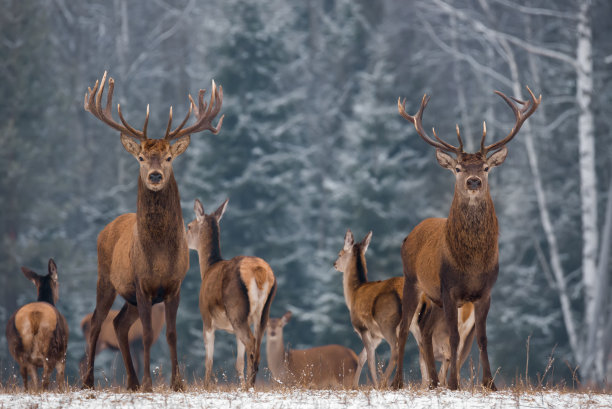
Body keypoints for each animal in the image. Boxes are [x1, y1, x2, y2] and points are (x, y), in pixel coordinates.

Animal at [6, 258, 69, 388]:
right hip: (50, 350)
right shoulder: (63, 355)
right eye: (58, 283)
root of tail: (33, 316)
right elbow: (60, 383)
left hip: (18, 351)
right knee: (44, 382)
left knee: (27, 380)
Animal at [82, 71, 222, 390]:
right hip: (105, 278)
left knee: (119, 323)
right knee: (97, 322)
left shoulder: (174, 286)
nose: (155, 176)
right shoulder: (141, 284)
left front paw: (177, 383)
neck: (158, 256)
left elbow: (171, 334)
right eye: (141, 158)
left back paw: (131, 381)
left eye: (169, 157)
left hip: (129, 297)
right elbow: (146, 334)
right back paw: (90, 381)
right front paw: (149, 382)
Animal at [186, 199, 278, 388]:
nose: (183, 239)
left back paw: (249, 386)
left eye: (189, 226)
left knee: (251, 342)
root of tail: (260, 272)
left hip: (237, 309)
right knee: (257, 347)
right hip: (263, 312)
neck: (207, 269)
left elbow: (209, 361)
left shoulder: (206, 318)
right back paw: (249, 385)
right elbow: (238, 363)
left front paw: (206, 386)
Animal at [392, 87, 540, 388]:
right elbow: (454, 337)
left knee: (425, 330)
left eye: (485, 167)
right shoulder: (449, 289)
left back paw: (433, 382)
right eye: (459, 168)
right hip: (413, 281)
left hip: (433, 297)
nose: (473, 181)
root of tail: (411, 234)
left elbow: (481, 338)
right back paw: (399, 382)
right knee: (403, 328)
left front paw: (489, 383)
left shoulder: (485, 292)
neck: (471, 263)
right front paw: (454, 383)